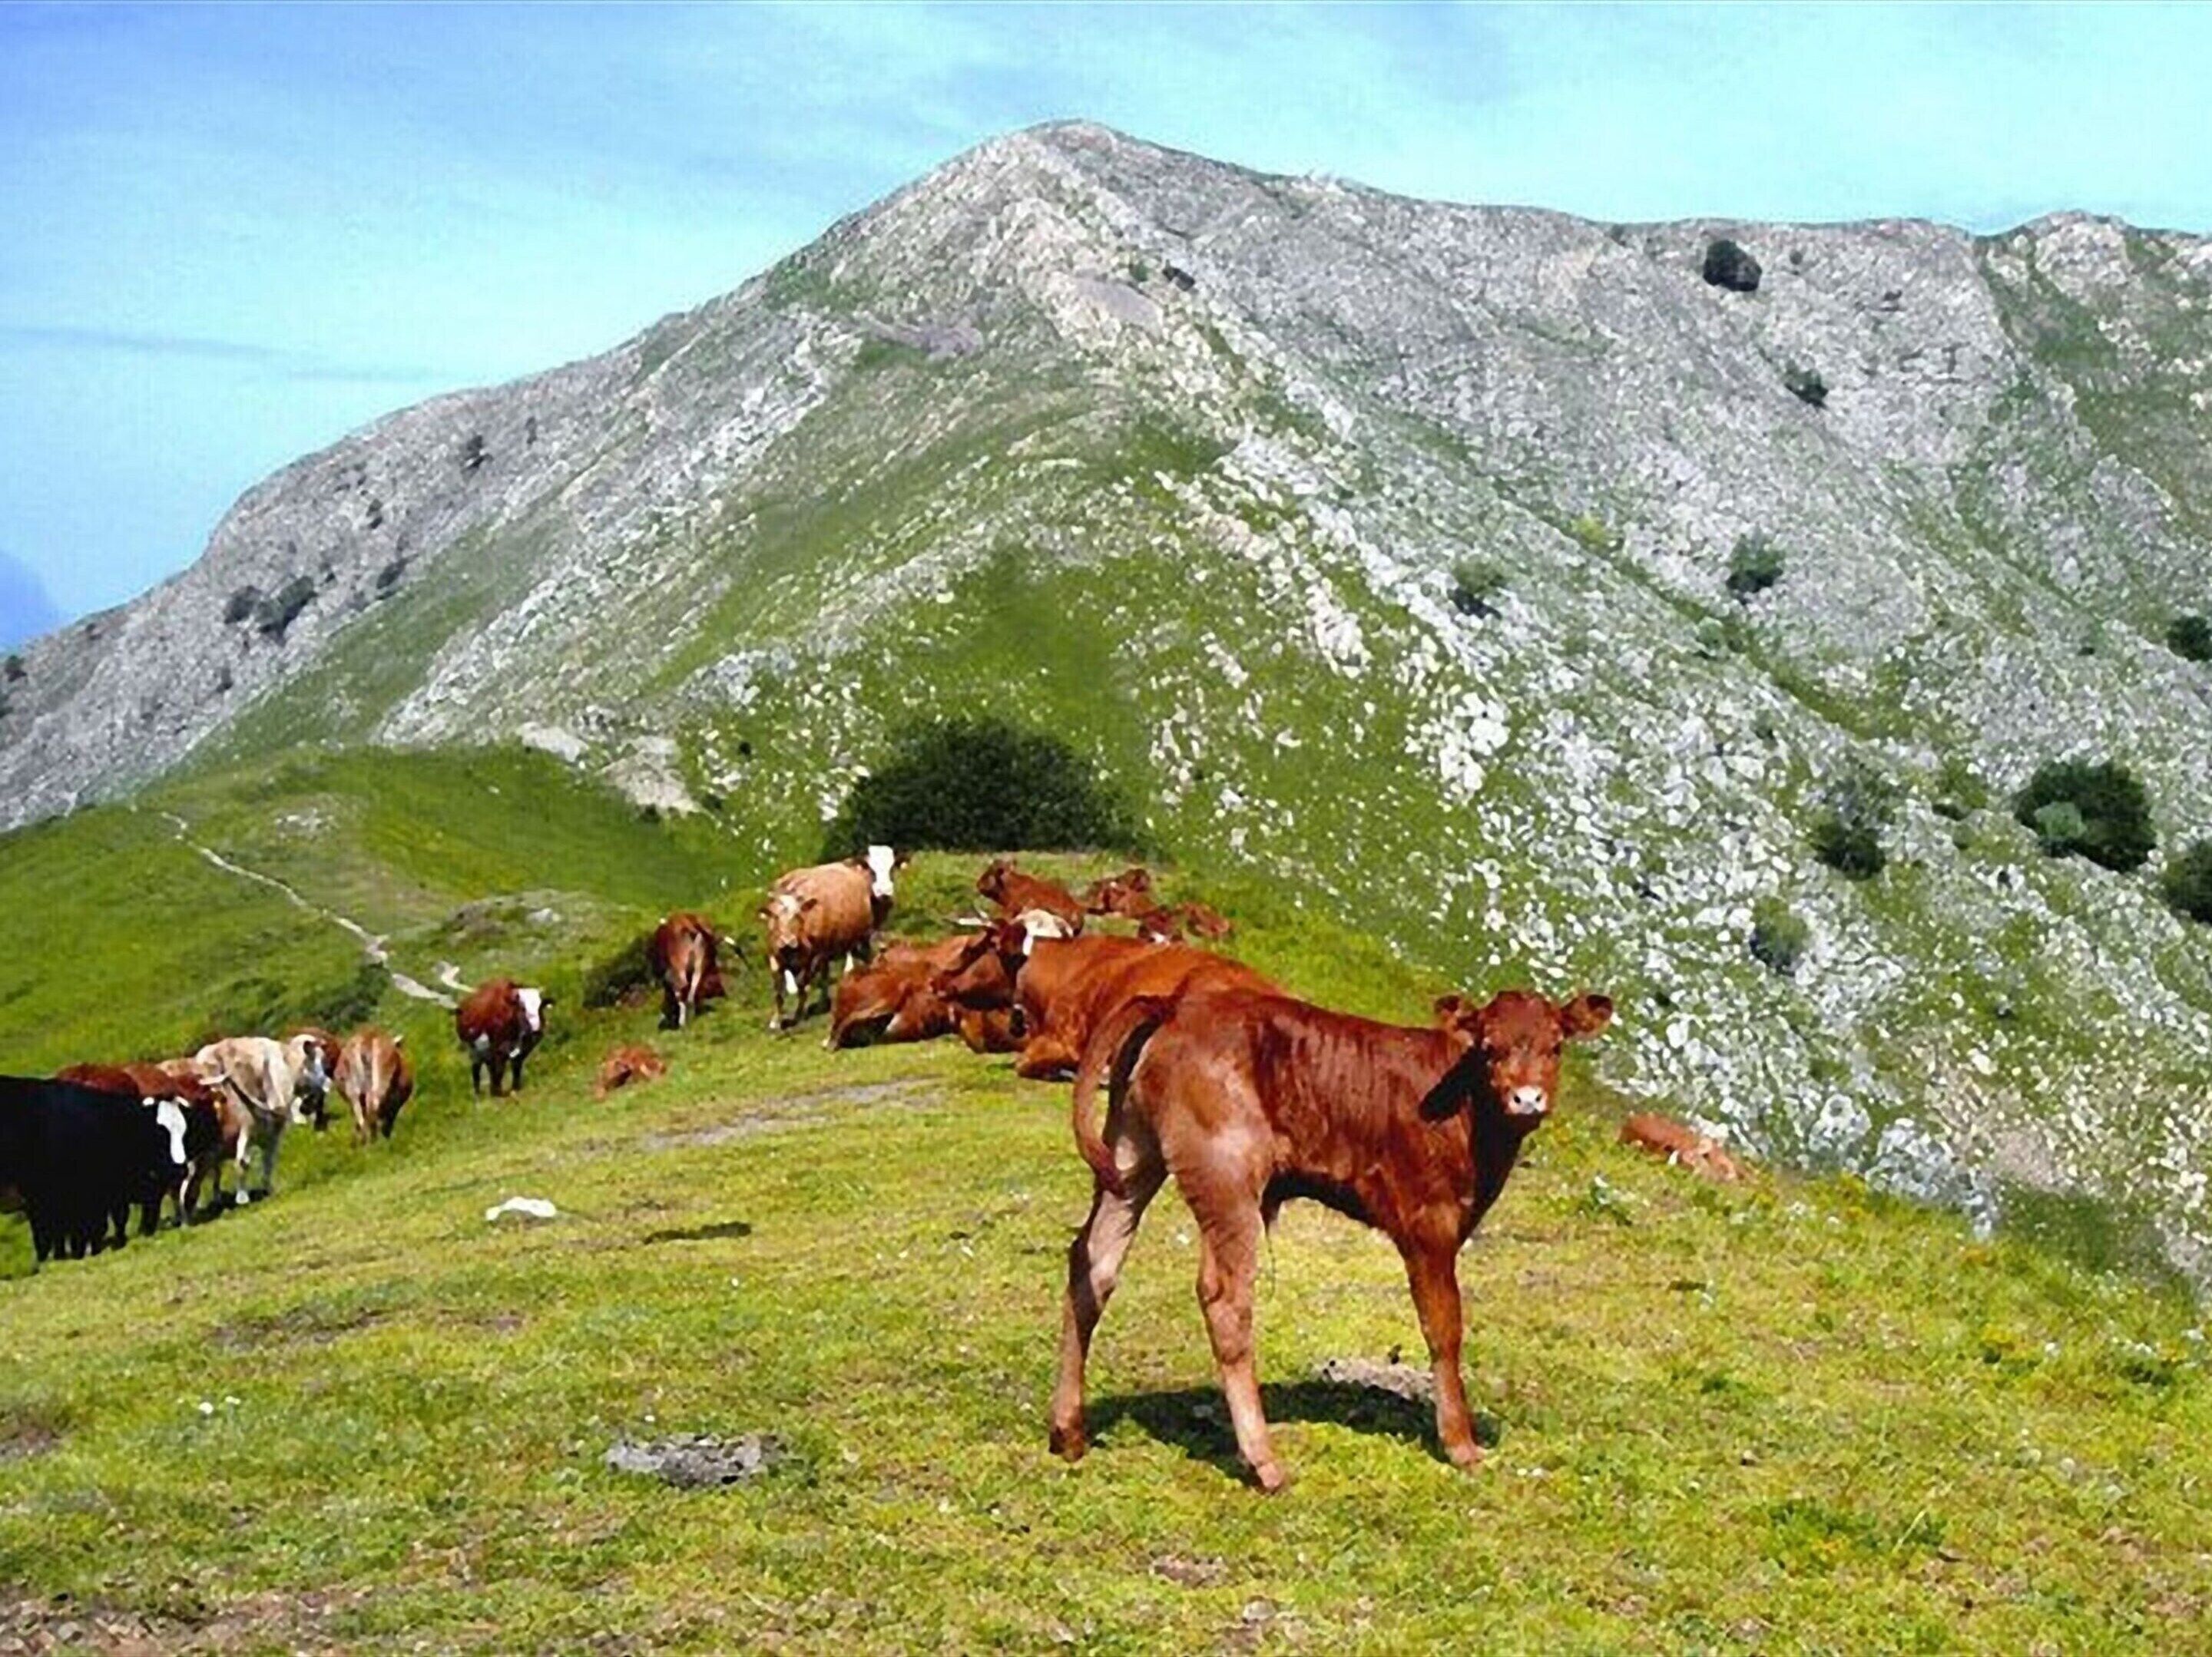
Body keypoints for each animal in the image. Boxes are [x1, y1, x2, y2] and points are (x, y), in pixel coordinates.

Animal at [193, 1033, 330, 1204]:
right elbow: (263, 1161)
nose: (327, 1083)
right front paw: (263, 1192)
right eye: (317, 1059)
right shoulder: (270, 1131)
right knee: (235, 1164)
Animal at [454, 980, 550, 1096]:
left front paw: (515, 1088)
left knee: (489, 1067)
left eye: (540, 1007)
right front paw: (498, 1092)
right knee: (477, 1069)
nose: (537, 1030)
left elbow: (516, 1066)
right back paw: (479, 1093)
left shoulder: (524, 1048)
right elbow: (500, 1069)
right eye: (523, 1008)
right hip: (474, 1050)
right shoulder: (500, 1049)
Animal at [650, 912, 733, 1030]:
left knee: (683, 987)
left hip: (679, 964)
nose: (722, 993)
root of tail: (692, 922)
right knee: (693, 987)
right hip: (700, 962)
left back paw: (683, 1022)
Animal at [760, 846, 901, 1031]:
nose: (787, 941)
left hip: (853, 938)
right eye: (775, 918)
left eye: (798, 916)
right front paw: (776, 1021)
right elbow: (779, 991)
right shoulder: (775, 957)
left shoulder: (815, 956)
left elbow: (803, 985)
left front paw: (799, 1015)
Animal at [1049, 985, 1613, 1491]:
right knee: (1225, 1297)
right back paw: (1264, 1463)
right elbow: (1444, 1329)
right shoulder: (1430, 1225)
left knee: (1094, 1263)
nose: (1528, 1098)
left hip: (1131, 1152)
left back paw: (1068, 1431)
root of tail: (1177, 1003)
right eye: (1489, 1047)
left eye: (1556, 1046)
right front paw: (1461, 1445)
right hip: (1226, 1171)